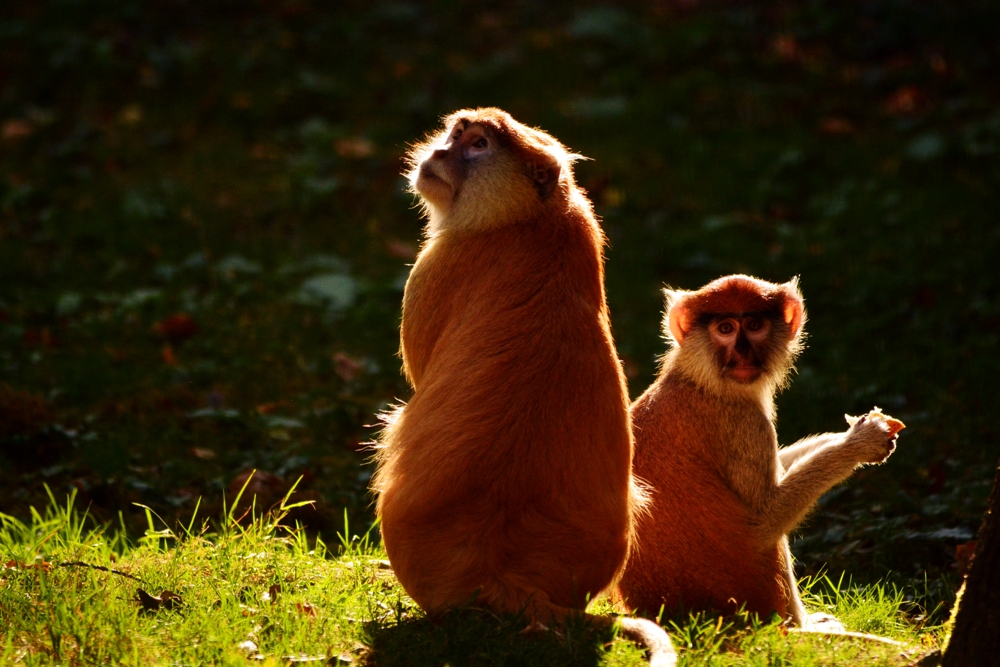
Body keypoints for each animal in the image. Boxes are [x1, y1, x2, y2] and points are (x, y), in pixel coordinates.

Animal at [371, 108, 675, 666]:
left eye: (478, 145)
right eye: (456, 134)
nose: (439, 153)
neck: (529, 218)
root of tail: (500, 573)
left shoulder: (442, 264)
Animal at [614, 274, 900, 629]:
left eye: (753, 325)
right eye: (724, 328)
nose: (742, 352)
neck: (699, 380)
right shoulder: (744, 423)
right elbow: (764, 521)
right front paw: (859, 443)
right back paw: (802, 626)